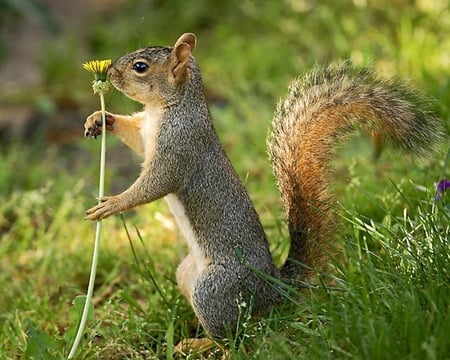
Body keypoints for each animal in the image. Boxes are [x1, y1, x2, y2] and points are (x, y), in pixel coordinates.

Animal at [83, 32, 442, 338]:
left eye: (140, 67)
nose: (110, 72)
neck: (166, 109)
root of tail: (273, 289)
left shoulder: (181, 146)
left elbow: (157, 184)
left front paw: (112, 204)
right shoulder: (146, 134)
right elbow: (134, 138)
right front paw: (100, 119)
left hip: (214, 289)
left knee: (235, 336)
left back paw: (199, 345)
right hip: (187, 275)